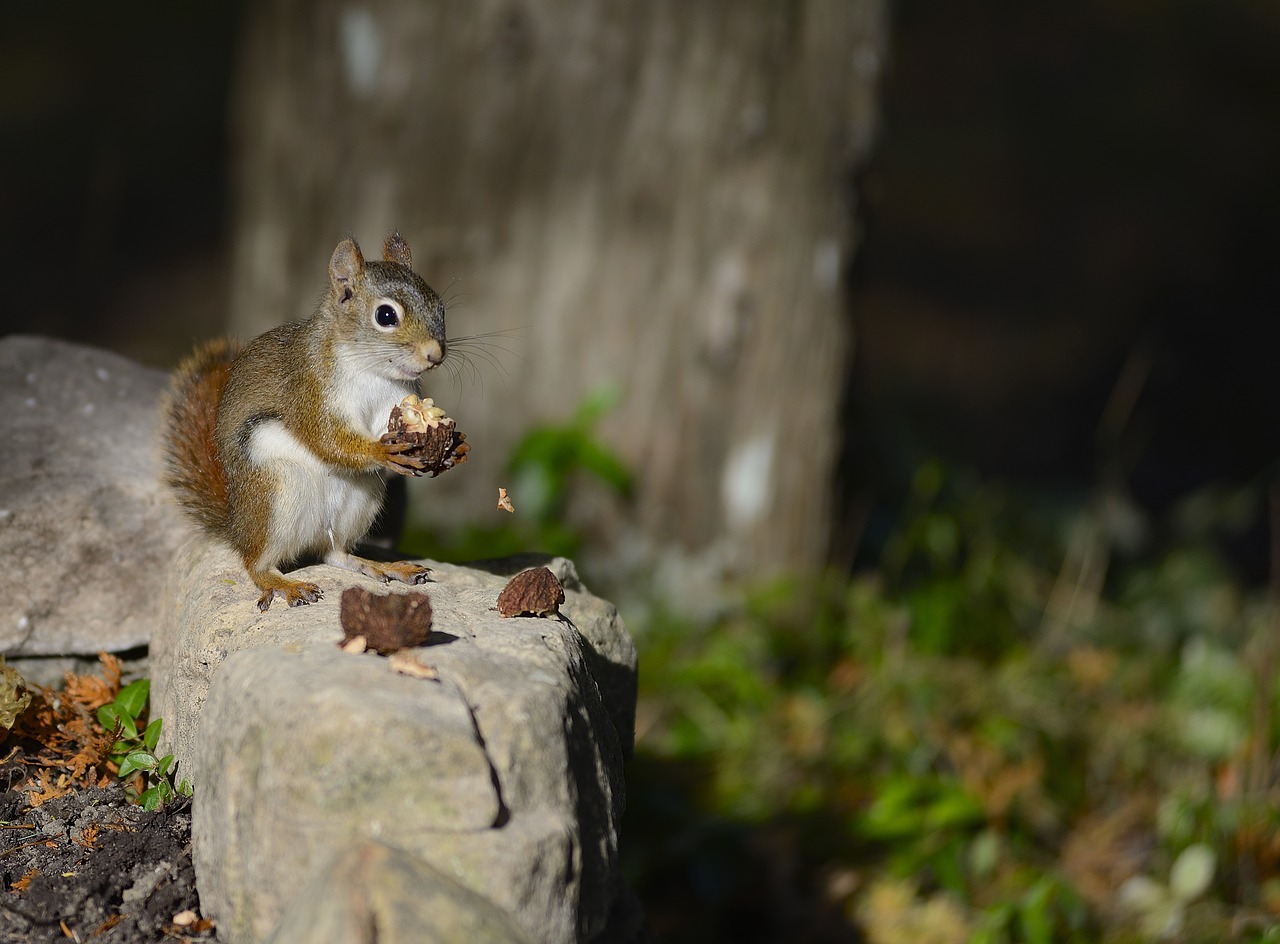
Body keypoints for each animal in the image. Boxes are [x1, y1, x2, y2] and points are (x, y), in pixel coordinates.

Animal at [162, 231, 450, 606]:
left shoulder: (396, 401)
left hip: (360, 502)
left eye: (440, 307)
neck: (373, 370)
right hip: (274, 496)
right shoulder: (308, 390)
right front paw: (381, 452)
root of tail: (238, 526)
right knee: (255, 563)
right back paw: (285, 584)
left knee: (336, 554)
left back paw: (384, 566)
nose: (435, 354)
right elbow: (326, 439)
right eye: (386, 315)